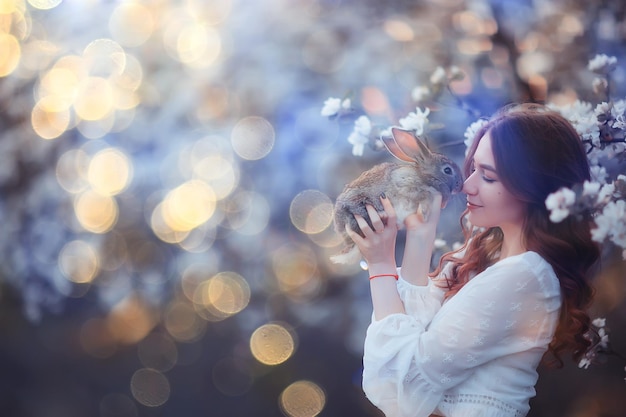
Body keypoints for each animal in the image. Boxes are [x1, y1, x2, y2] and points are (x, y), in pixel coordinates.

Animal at [330, 126, 460, 264]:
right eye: (447, 170)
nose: (460, 186)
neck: (425, 175)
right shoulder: (406, 185)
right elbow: (425, 195)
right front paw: (425, 214)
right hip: (358, 206)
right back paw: (382, 215)